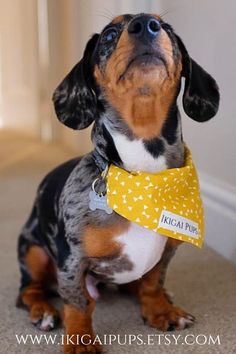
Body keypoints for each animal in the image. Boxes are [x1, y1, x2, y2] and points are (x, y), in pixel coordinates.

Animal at [17, 13, 219, 354]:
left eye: (167, 29)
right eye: (110, 34)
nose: (147, 24)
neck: (144, 174)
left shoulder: (166, 251)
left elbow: (152, 283)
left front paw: (159, 311)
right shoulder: (72, 259)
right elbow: (78, 303)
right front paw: (81, 341)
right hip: (33, 251)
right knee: (28, 290)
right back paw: (42, 310)